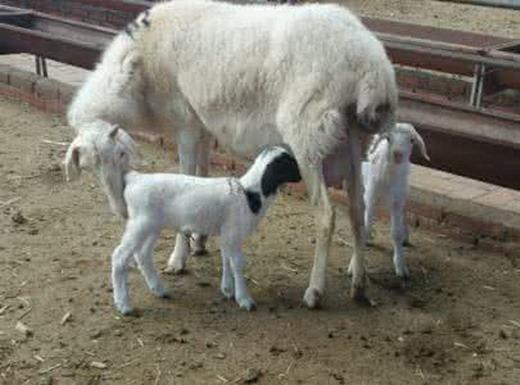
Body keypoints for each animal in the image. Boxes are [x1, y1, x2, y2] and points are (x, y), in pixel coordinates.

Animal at [65, 126, 302, 312]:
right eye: (290, 163)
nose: (302, 176)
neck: (249, 193)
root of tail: (133, 179)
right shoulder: (234, 233)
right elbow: (237, 264)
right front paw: (244, 299)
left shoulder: (227, 235)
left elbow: (226, 259)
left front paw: (227, 290)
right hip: (140, 224)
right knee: (119, 256)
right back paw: (124, 305)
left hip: (151, 225)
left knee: (142, 254)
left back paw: (159, 290)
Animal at [362, 122, 430, 280]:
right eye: (388, 138)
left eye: (412, 140)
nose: (397, 154)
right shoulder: (371, 196)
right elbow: (366, 226)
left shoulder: (398, 201)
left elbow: (396, 232)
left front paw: (400, 266)